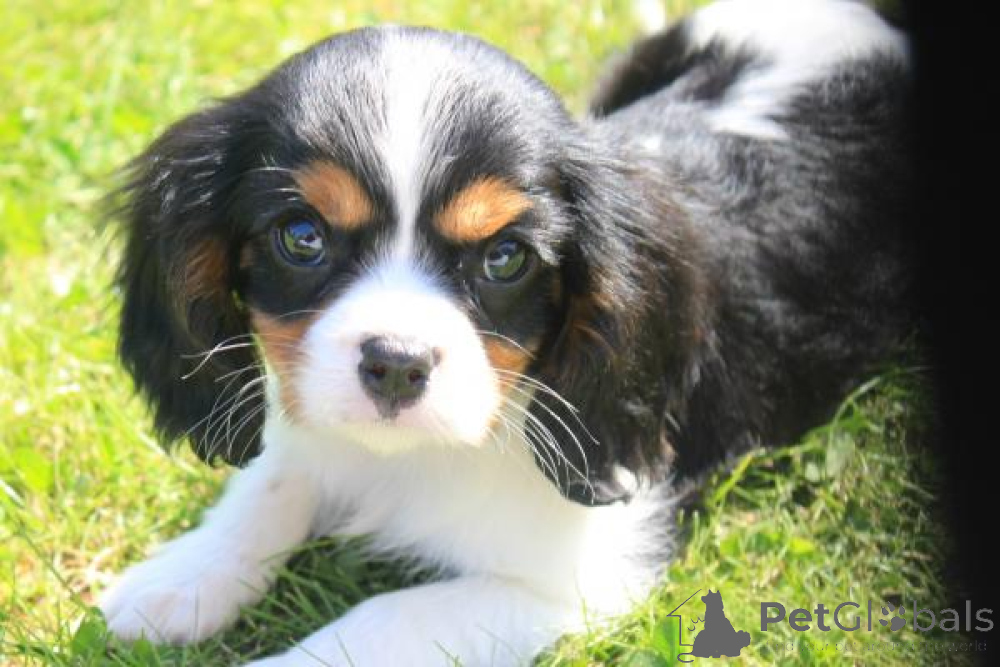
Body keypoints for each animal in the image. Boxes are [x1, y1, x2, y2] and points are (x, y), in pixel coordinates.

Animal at [99, 0, 913, 664]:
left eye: (504, 258)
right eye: (302, 237)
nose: (396, 364)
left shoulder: (576, 580)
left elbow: (380, 619)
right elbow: (275, 478)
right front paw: (180, 576)